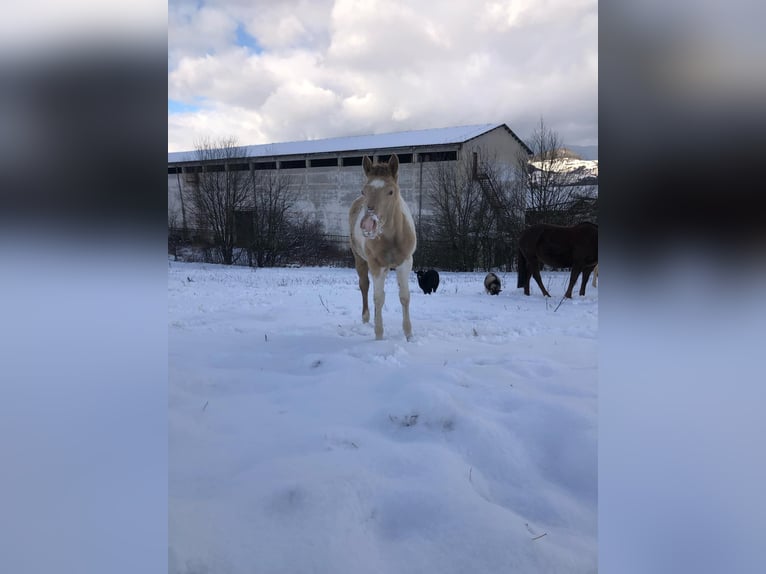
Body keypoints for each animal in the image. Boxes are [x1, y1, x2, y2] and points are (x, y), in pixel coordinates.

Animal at [349, 155, 417, 340]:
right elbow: (378, 298)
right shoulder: (376, 265)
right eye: (364, 191)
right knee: (364, 286)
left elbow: (404, 297)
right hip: (360, 260)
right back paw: (366, 319)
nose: (368, 224)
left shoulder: (405, 263)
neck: (392, 237)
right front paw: (379, 336)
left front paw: (409, 335)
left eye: (390, 191)